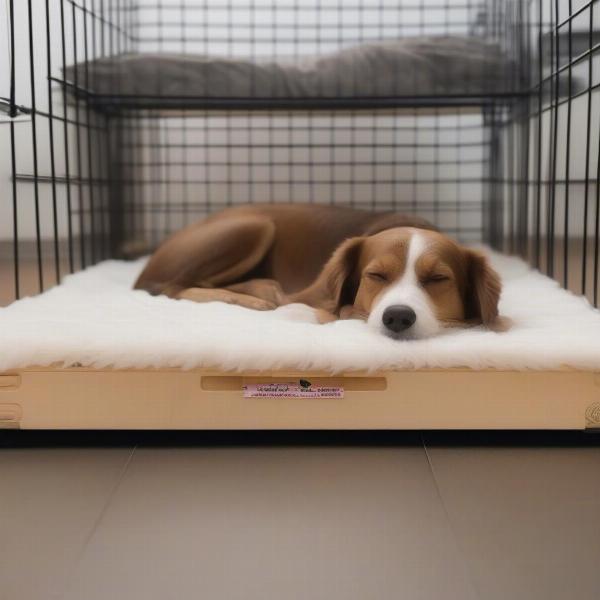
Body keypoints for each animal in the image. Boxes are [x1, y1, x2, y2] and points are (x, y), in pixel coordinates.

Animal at [135, 204, 502, 340]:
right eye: (376, 276)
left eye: (438, 279)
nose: (397, 317)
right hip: (254, 223)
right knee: (174, 287)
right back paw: (254, 297)